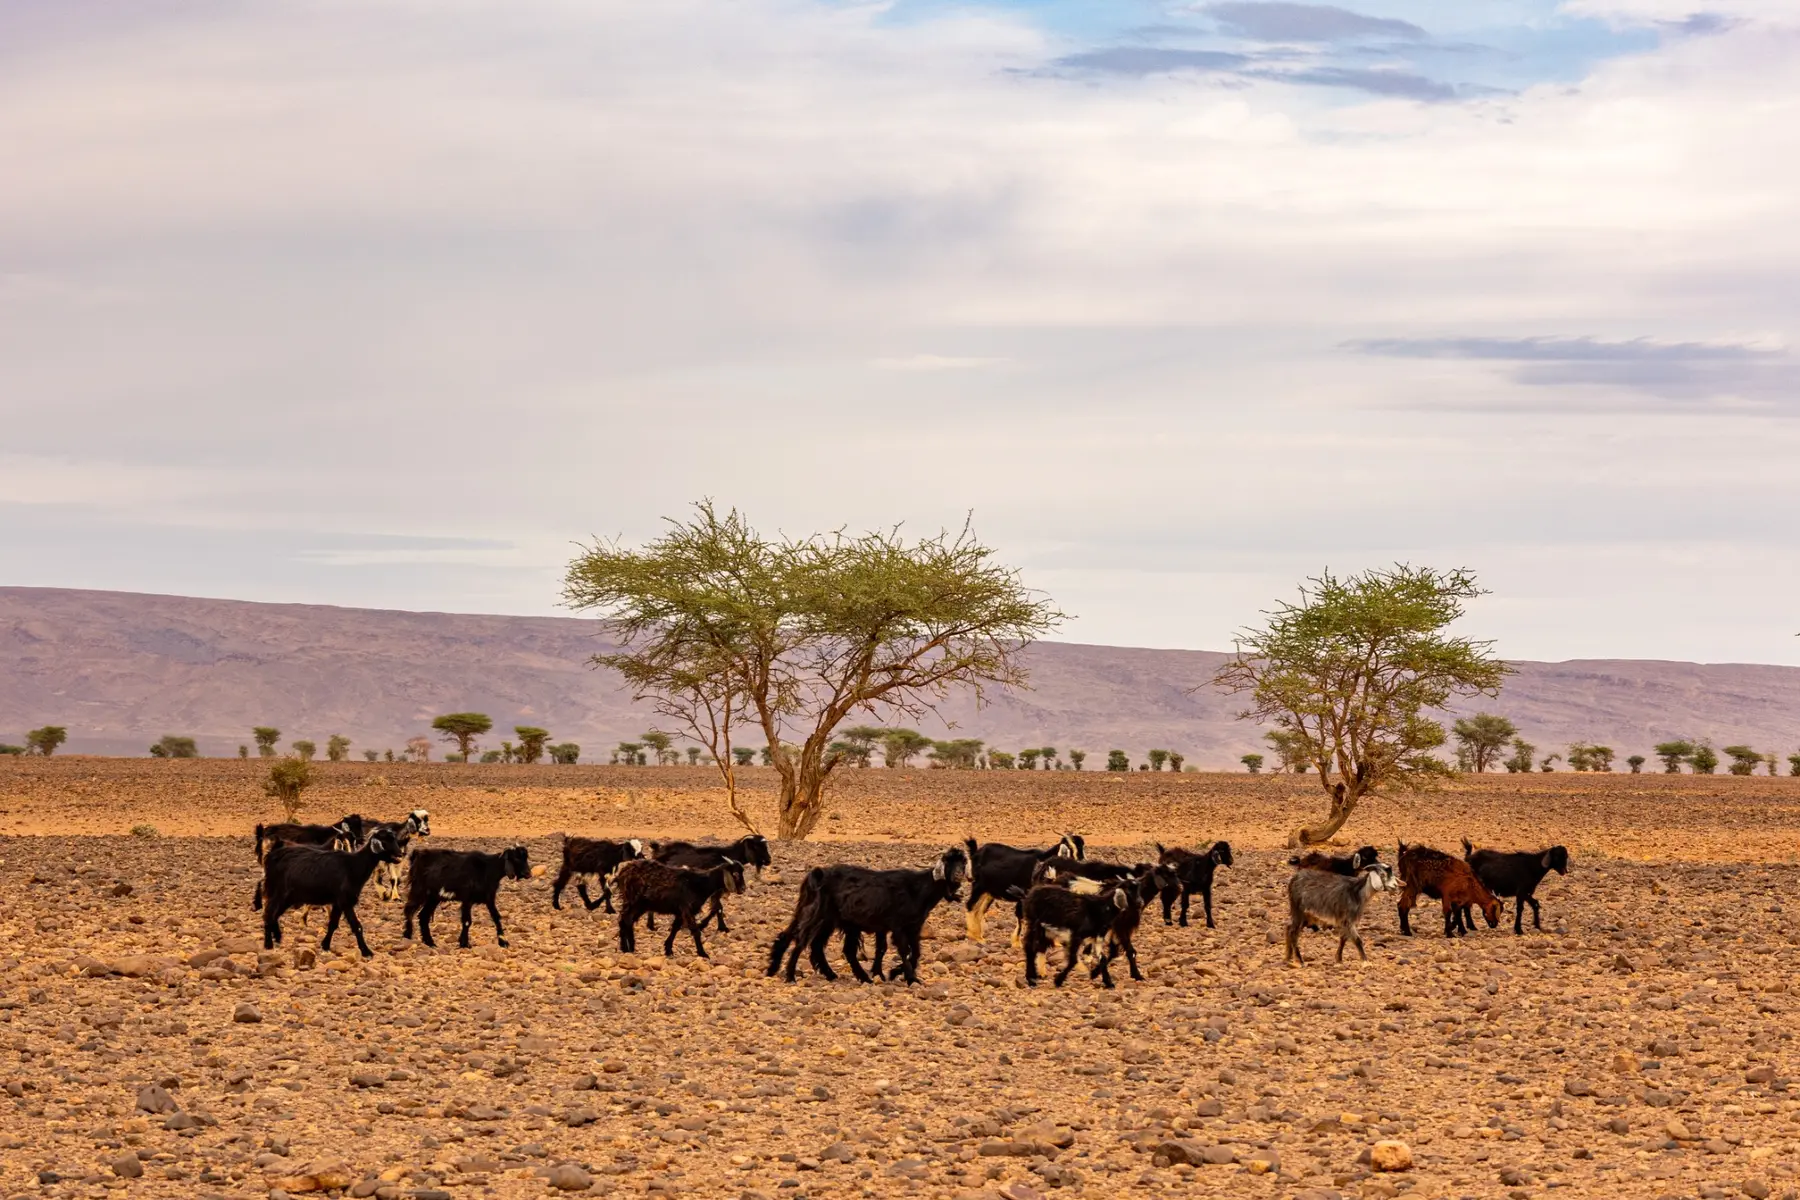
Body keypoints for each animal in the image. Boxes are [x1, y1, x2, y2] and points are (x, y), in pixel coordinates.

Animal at [261, 829, 404, 958]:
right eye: (385, 840)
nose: (400, 855)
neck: (353, 865)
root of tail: (272, 855)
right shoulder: (345, 901)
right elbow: (356, 926)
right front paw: (367, 952)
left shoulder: (338, 902)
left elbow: (333, 924)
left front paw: (325, 946)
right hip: (279, 892)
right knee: (269, 914)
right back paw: (268, 945)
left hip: (288, 897)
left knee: (274, 915)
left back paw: (278, 938)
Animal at [402, 846, 531, 949]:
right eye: (516, 858)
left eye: (526, 858)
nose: (528, 874)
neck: (488, 869)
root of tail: (417, 854)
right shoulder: (467, 899)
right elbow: (467, 921)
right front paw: (464, 943)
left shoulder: (489, 898)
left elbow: (496, 917)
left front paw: (503, 942)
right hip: (419, 890)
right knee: (409, 909)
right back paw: (407, 934)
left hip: (433, 898)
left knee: (423, 916)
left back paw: (430, 942)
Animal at [614, 859, 746, 958]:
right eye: (735, 874)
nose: (744, 889)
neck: (701, 883)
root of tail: (623, 872)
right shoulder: (687, 908)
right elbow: (695, 930)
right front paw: (703, 953)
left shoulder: (680, 912)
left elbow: (675, 928)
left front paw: (668, 949)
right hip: (633, 902)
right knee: (625, 919)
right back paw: (627, 948)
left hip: (640, 905)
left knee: (626, 920)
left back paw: (627, 947)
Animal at [768, 848, 967, 985]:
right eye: (948, 862)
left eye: (963, 862)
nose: (959, 875)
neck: (919, 888)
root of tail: (817, 874)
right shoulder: (898, 926)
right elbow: (903, 951)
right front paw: (909, 978)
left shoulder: (911, 926)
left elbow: (910, 952)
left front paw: (886, 973)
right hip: (819, 915)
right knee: (802, 941)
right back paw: (791, 976)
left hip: (831, 920)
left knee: (817, 944)